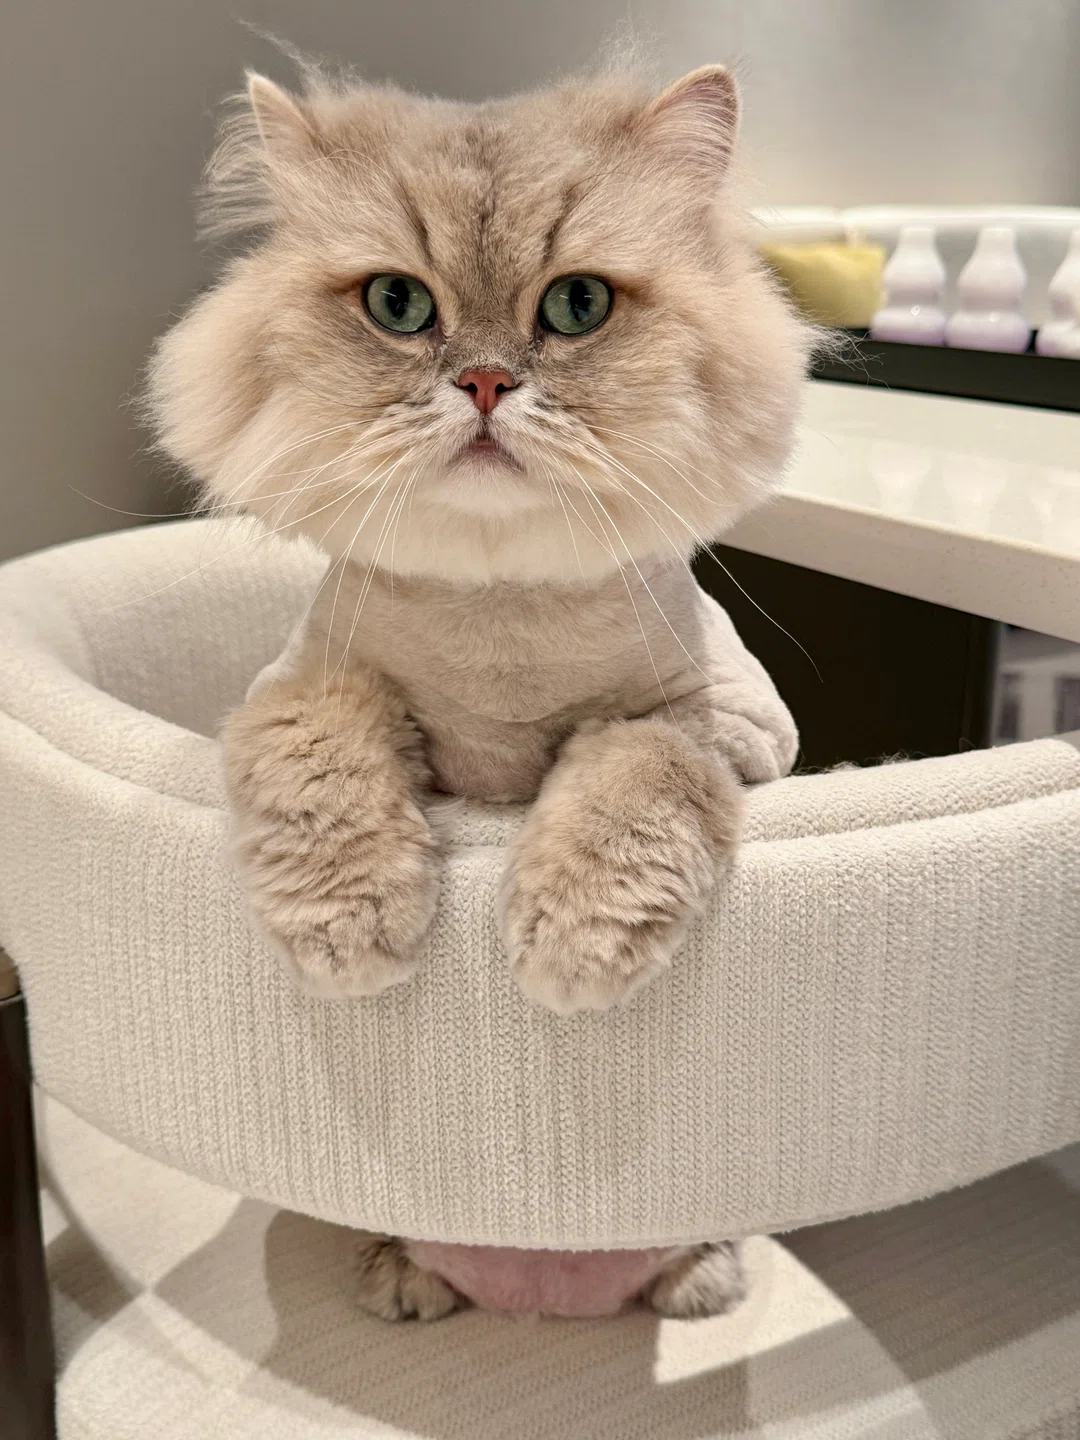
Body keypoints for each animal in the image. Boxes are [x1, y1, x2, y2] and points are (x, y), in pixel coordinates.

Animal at [148, 58, 809, 1320]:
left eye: (578, 305)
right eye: (399, 306)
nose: (489, 382)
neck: (500, 611)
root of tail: (542, 1295)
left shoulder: (716, 723)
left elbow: (632, 779)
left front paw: (571, 953)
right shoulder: (305, 678)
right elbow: (321, 757)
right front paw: (354, 935)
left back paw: (700, 1280)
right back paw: (402, 1283)